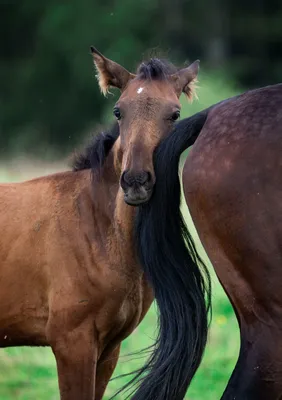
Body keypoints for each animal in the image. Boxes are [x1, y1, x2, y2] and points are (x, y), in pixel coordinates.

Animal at [0, 47, 203, 400]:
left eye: (175, 114)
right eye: (118, 111)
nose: (135, 182)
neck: (96, 227)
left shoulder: (109, 348)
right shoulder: (73, 343)